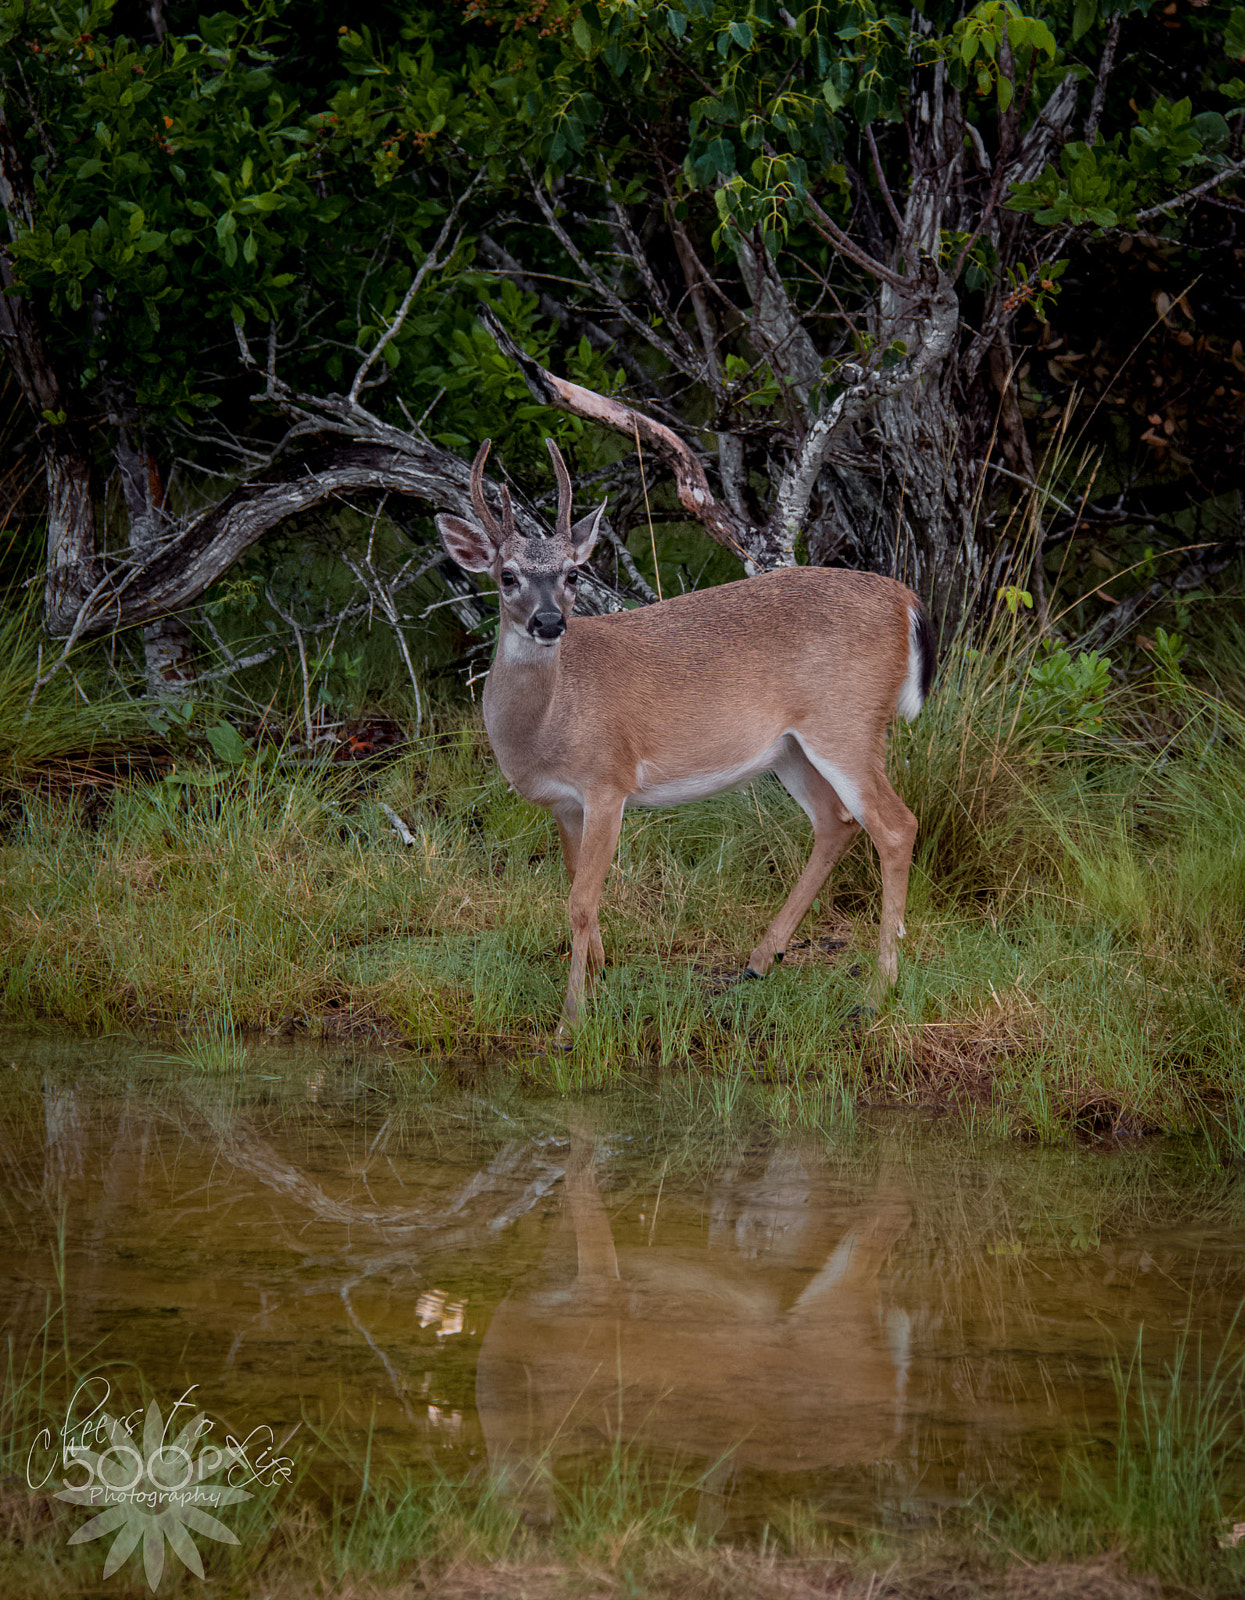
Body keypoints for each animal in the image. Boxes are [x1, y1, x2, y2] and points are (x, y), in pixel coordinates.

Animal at [435, 435, 934, 1049]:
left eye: (573, 575)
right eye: (506, 576)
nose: (550, 622)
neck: (548, 725)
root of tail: (905, 599)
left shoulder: (609, 781)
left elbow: (581, 901)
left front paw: (570, 1024)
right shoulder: (565, 804)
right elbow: (576, 888)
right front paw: (599, 976)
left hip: (848, 723)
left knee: (895, 825)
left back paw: (877, 991)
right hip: (791, 748)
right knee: (834, 823)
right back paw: (761, 960)